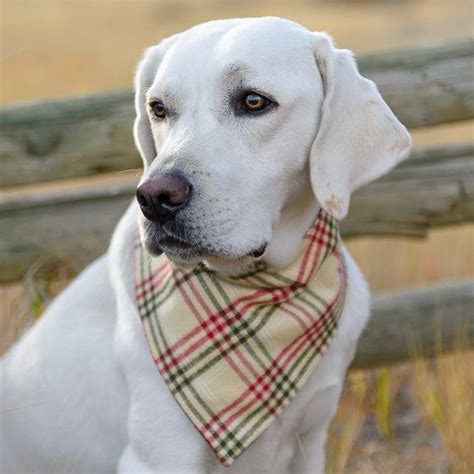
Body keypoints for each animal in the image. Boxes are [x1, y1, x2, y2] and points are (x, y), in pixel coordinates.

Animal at [0, 16, 410, 472]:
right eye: (159, 108)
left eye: (253, 101)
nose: (154, 198)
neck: (263, 291)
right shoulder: (160, 455)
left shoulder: (311, 439)